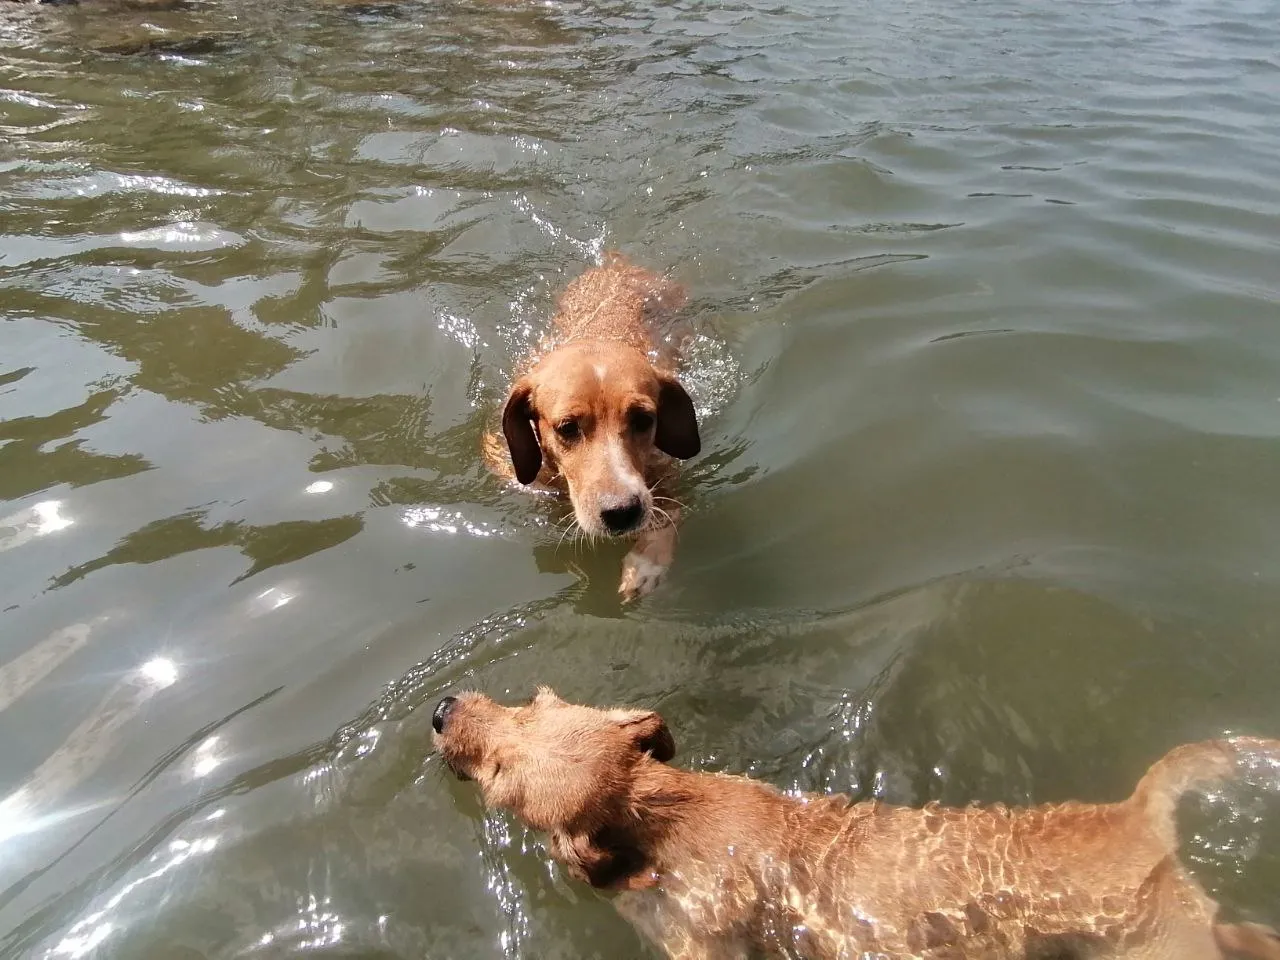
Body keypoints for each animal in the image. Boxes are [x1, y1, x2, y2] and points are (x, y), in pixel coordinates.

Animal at [435, 691, 1280, 960]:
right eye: (532, 699)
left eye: (501, 772)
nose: (444, 709)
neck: (663, 820)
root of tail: (1135, 813)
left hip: (1167, 947)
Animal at [483, 256, 701, 601]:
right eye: (567, 427)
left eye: (643, 419)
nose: (622, 511)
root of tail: (617, 264)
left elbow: (668, 514)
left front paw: (645, 565)